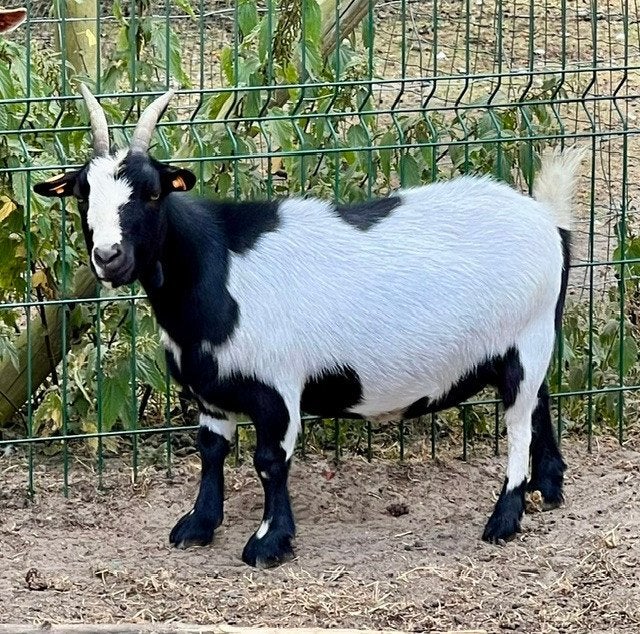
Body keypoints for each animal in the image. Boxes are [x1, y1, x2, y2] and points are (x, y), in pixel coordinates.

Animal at [34, 86, 580, 568]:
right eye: (81, 194)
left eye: (151, 193)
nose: (108, 257)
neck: (218, 263)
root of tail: (549, 219)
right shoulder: (211, 388)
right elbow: (211, 450)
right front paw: (197, 525)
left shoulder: (277, 387)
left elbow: (270, 461)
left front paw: (268, 542)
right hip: (531, 342)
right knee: (540, 401)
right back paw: (548, 486)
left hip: (527, 338)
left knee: (517, 422)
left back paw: (505, 518)